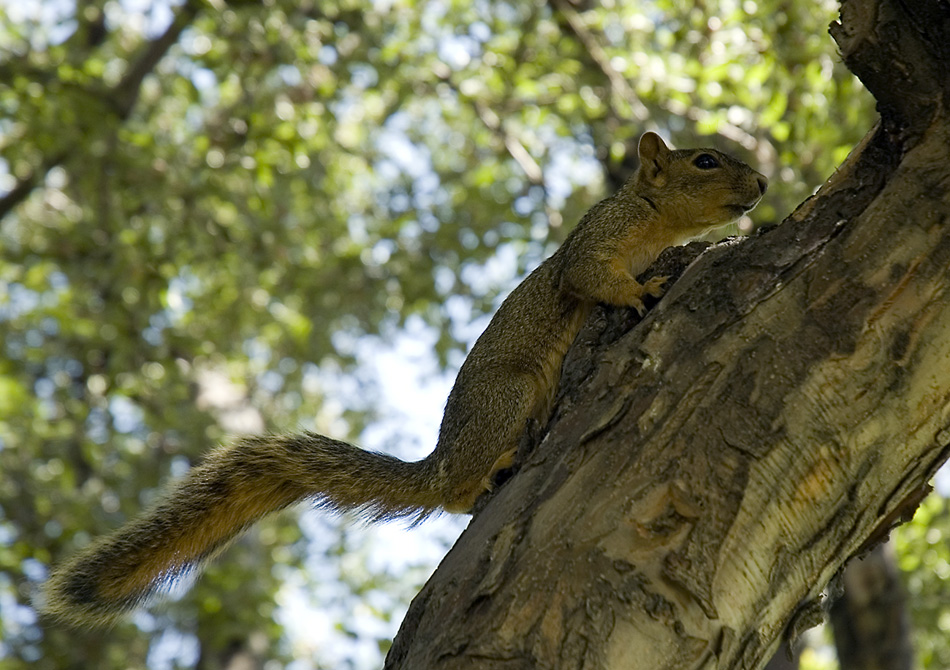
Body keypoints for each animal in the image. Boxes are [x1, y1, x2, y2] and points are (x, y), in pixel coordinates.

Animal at [41, 133, 768, 632]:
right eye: (705, 161)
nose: (762, 181)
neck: (652, 213)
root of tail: (444, 456)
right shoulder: (597, 242)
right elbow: (591, 276)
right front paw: (642, 291)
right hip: (508, 395)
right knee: (456, 492)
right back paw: (490, 470)